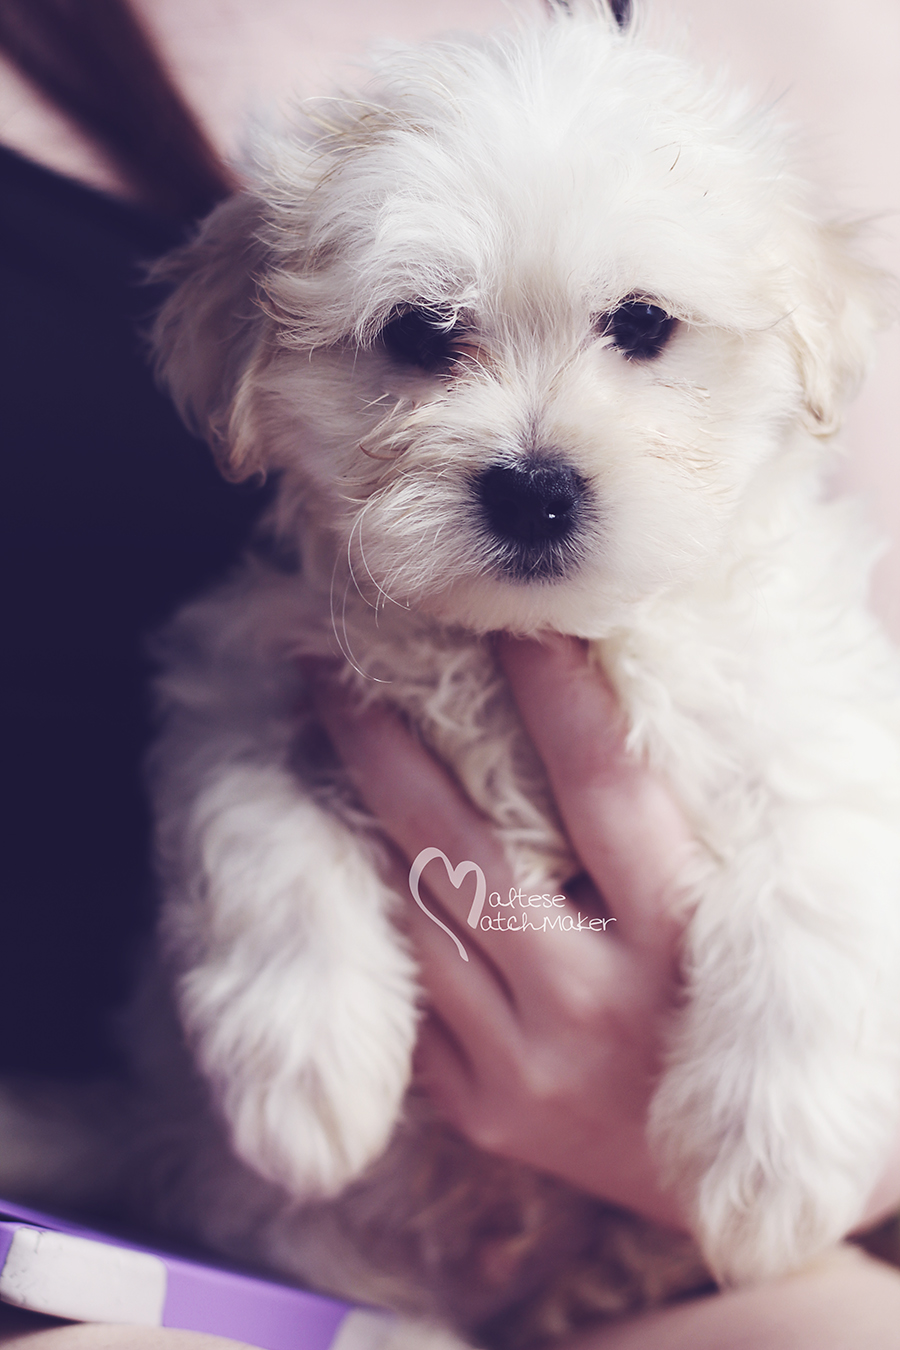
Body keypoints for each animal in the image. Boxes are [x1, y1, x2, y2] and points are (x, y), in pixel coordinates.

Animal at [146, 0, 900, 1328]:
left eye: (642, 324)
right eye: (417, 333)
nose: (535, 489)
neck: (530, 644)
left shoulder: (820, 715)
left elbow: (815, 881)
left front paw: (772, 1164)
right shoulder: (243, 671)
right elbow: (258, 826)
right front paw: (307, 1075)